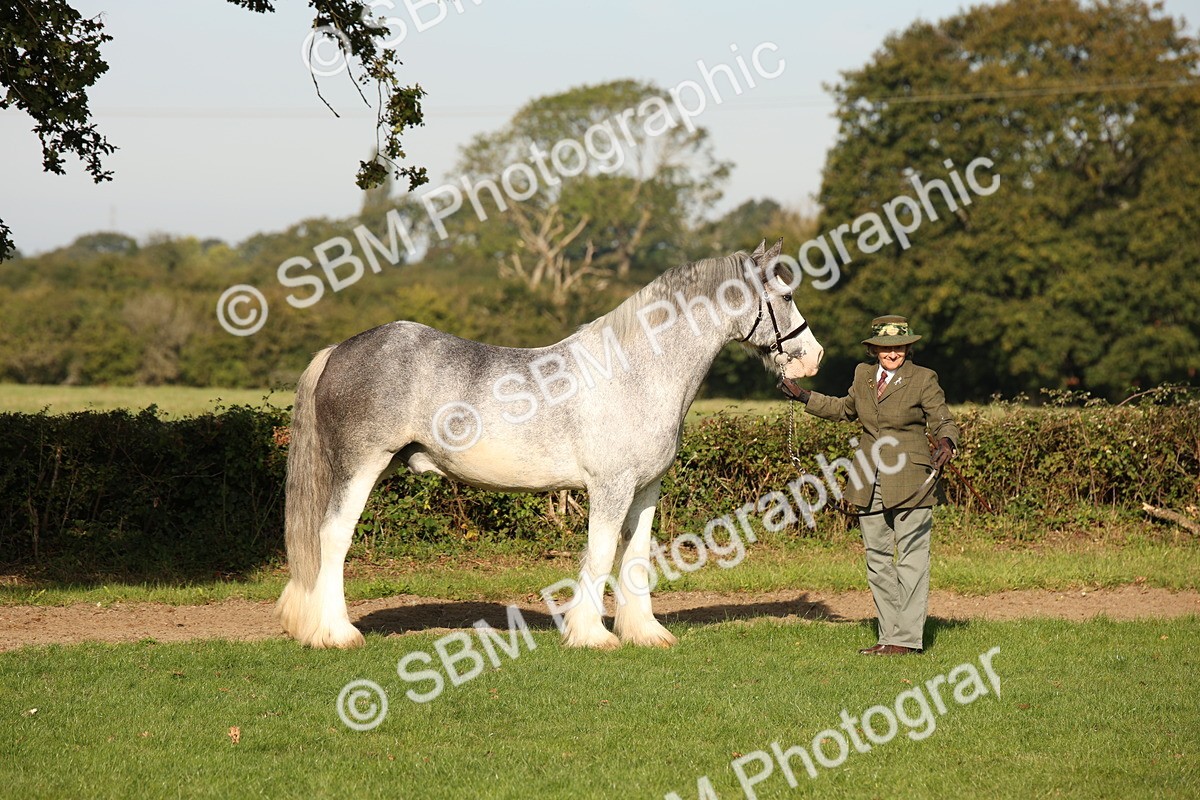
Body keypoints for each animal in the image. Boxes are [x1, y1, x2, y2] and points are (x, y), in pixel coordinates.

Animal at [276, 238, 823, 649]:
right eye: (787, 295)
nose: (813, 358)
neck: (637, 371)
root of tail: (340, 349)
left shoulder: (646, 489)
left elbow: (636, 554)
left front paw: (646, 632)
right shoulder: (610, 488)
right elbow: (600, 554)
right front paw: (592, 636)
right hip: (361, 466)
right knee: (333, 537)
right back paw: (337, 633)